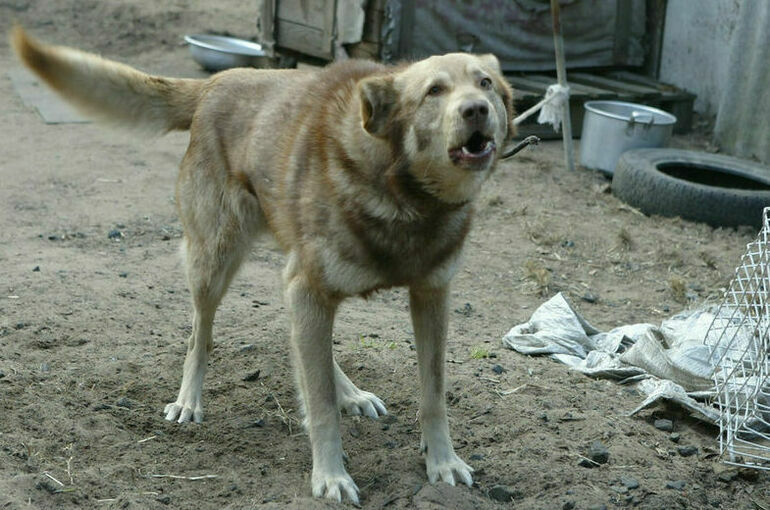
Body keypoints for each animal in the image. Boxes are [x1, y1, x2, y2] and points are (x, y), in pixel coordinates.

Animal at [12, 28, 512, 506]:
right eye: (434, 91)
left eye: (484, 83)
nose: (476, 109)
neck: (403, 193)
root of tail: (216, 82)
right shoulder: (309, 288)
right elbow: (320, 405)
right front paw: (330, 476)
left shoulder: (429, 296)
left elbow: (433, 395)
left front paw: (442, 463)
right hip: (214, 262)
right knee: (200, 335)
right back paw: (188, 400)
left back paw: (350, 392)